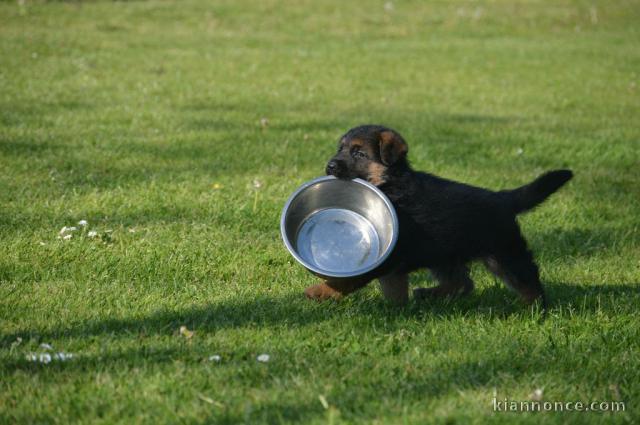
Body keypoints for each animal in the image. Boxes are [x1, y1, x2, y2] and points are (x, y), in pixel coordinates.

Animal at [304, 124, 576, 306]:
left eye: (359, 154)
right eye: (341, 149)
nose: (330, 166)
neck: (390, 183)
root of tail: (502, 198)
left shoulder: (390, 255)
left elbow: (350, 280)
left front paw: (320, 291)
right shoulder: (395, 260)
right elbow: (394, 285)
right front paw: (395, 307)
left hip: (504, 254)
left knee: (528, 279)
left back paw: (534, 308)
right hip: (443, 255)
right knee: (463, 283)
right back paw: (428, 294)